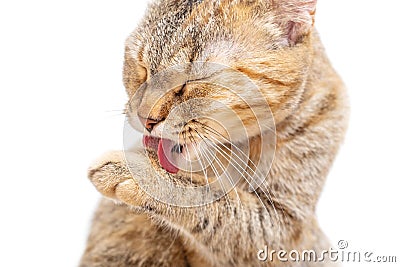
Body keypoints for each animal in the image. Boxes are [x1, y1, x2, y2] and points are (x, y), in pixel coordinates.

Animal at [80, 1, 346, 266]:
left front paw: (136, 171)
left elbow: (214, 200)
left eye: (192, 81)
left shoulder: (283, 227)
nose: (145, 119)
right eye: (143, 68)